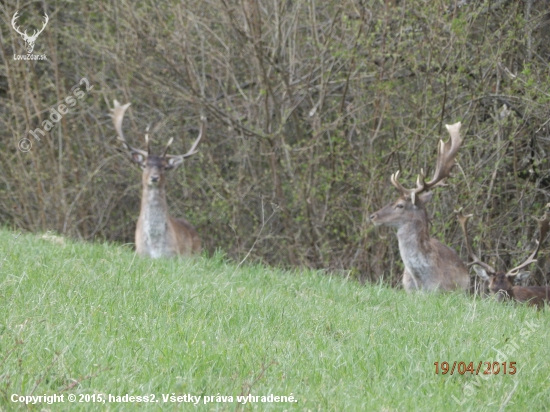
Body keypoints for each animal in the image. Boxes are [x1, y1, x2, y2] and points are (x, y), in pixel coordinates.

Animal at [111, 100, 206, 258]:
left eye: (165, 167)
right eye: (144, 165)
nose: (154, 177)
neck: (155, 248)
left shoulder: (173, 256)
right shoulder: (140, 254)